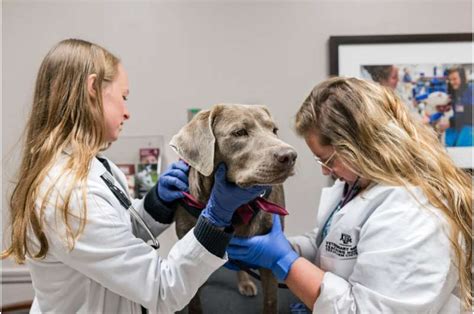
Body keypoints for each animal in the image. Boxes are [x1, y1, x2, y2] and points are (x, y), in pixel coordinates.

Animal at [170, 103, 296, 314]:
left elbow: (271, 300)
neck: (236, 209)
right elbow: (193, 298)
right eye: (239, 132)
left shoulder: (269, 262)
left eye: (274, 130)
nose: (290, 156)